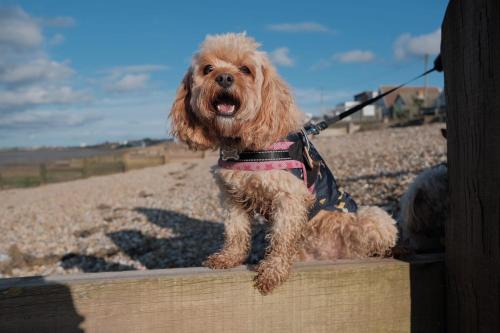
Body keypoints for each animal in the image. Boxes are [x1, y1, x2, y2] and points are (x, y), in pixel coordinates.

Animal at [170, 33, 396, 294]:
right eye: (208, 69)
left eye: (245, 69)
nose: (224, 77)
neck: (245, 145)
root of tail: (332, 255)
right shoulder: (232, 197)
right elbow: (236, 231)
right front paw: (229, 257)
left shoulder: (289, 196)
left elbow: (281, 237)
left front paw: (273, 270)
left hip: (372, 218)